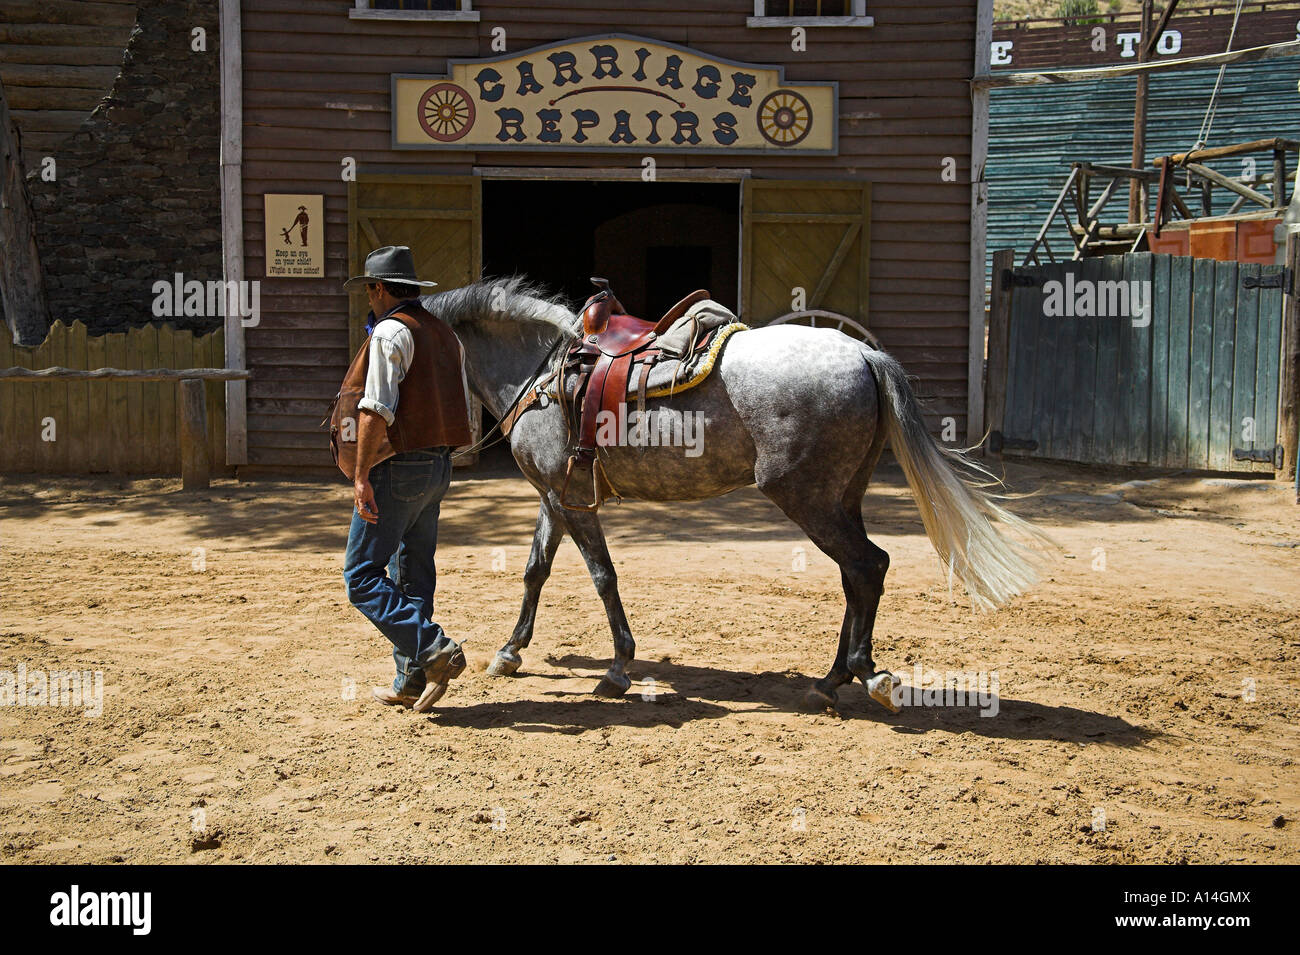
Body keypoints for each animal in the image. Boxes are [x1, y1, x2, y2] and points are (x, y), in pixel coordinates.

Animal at [431, 276, 1050, 712]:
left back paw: (860, 674)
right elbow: (535, 570)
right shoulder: (554, 497)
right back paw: (829, 681)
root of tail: (864, 355)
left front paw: (617, 669)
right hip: (841, 498)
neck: (542, 375)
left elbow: (603, 577)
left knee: (868, 566)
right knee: (856, 576)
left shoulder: (571, 501)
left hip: (805, 498)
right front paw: (510, 651)